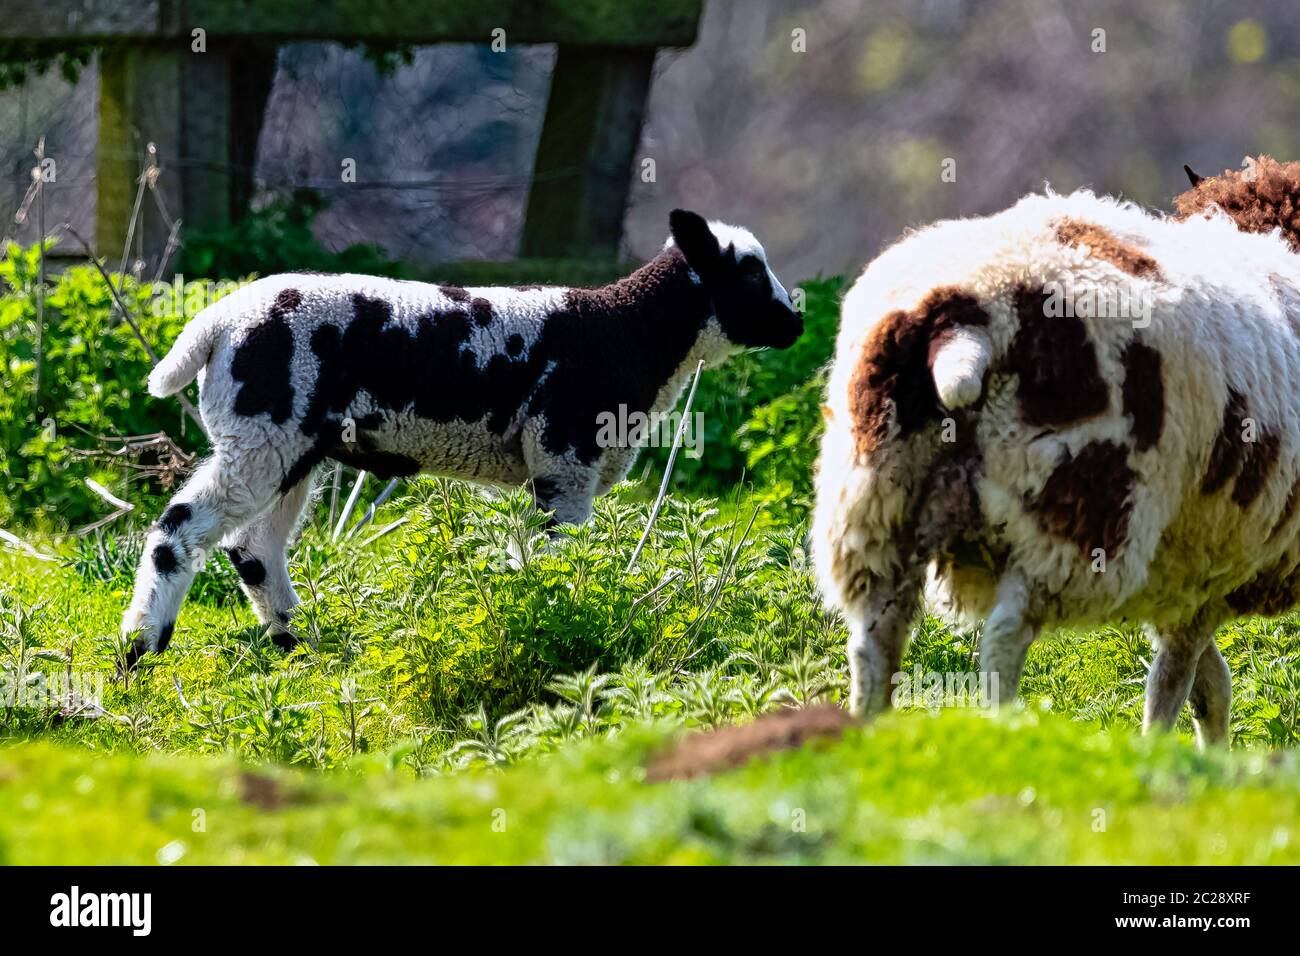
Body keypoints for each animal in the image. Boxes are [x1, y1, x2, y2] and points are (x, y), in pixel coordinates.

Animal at [126, 210, 806, 665]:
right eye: (750, 274)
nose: (796, 323)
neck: (625, 329)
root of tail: (216, 323)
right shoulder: (564, 457)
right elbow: (557, 558)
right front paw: (566, 622)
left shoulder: (553, 468)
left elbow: (526, 559)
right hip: (262, 436)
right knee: (178, 529)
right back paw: (140, 650)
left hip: (291, 447)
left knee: (255, 548)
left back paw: (301, 649)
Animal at [811, 155, 1300, 749]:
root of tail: (962, 320)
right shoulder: (1202, 572)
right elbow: (1177, 681)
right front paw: (1163, 753)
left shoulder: (1183, 574)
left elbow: (1209, 684)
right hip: (1079, 508)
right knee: (1003, 639)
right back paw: (1004, 730)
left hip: (873, 506)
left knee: (874, 639)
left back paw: (870, 739)